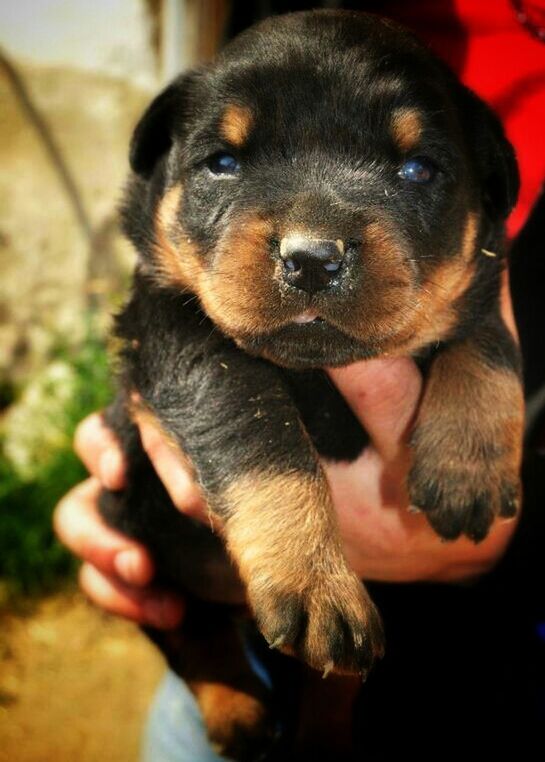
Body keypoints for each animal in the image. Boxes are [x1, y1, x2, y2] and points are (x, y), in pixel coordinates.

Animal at [99, 8, 524, 756]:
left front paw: (467, 465)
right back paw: (238, 712)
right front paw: (314, 579)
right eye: (223, 163)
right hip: (133, 536)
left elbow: (484, 339)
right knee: (187, 628)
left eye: (417, 168)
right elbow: (255, 422)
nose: (311, 258)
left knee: (331, 683)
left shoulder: (484, 273)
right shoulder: (168, 322)